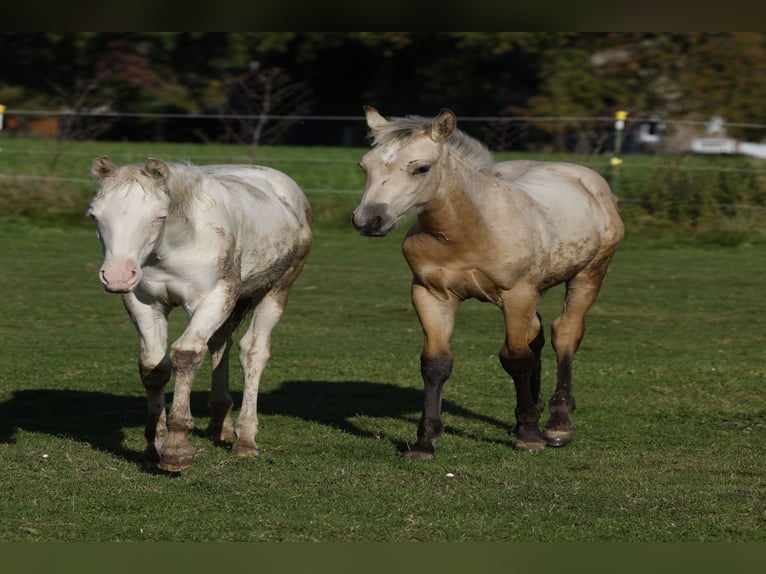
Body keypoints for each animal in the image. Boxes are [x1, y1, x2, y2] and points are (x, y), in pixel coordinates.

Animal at [85, 158, 312, 472]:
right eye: (95, 216)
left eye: (160, 216)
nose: (118, 275)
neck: (175, 246)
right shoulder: (143, 302)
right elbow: (154, 367)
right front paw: (153, 447)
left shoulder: (214, 297)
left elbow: (186, 354)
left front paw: (176, 450)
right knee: (220, 343)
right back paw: (220, 424)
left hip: (277, 289)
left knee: (253, 351)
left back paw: (245, 439)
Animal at [354, 107, 624, 460]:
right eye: (365, 166)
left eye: (421, 168)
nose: (368, 220)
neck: (470, 230)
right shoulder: (430, 295)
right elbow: (436, 364)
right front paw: (425, 442)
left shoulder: (517, 295)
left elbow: (516, 359)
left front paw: (530, 436)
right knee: (537, 336)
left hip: (589, 273)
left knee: (564, 334)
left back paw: (557, 424)